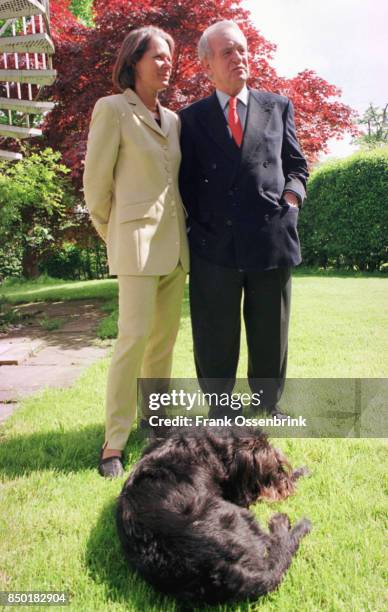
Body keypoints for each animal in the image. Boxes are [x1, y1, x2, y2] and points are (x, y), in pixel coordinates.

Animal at [116, 428, 310, 604]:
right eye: (275, 470)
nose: (288, 487)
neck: (211, 447)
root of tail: (215, 567)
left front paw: (301, 471)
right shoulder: (239, 498)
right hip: (241, 516)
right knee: (275, 542)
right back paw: (282, 523)